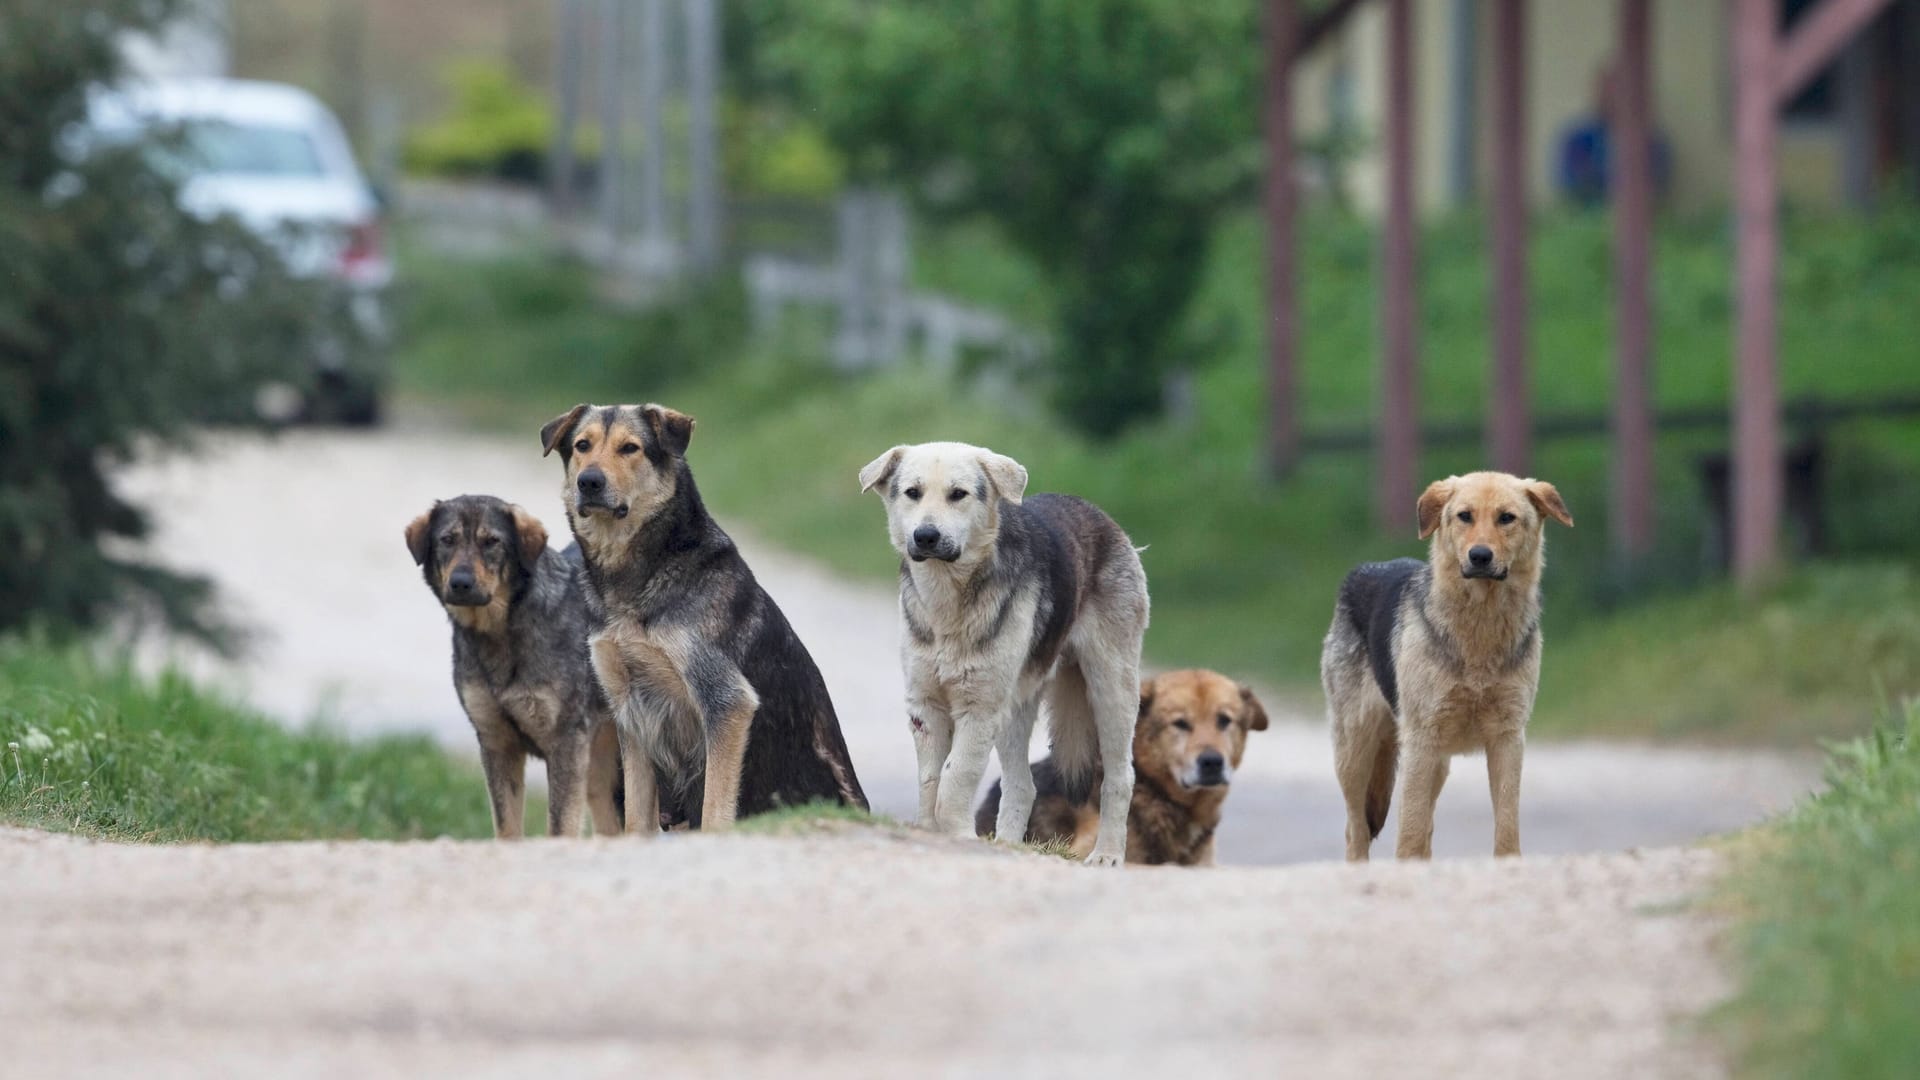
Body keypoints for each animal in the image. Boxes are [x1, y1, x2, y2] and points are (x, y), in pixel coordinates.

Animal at [407, 491, 622, 837]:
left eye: (492, 542)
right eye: (447, 540)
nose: (461, 583)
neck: (501, 632)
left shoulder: (565, 744)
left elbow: (559, 826)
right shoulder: (496, 744)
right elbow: (507, 829)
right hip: (600, 773)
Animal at [541, 399, 871, 826]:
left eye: (630, 448)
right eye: (582, 445)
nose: (589, 482)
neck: (634, 579)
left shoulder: (726, 701)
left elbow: (715, 805)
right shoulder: (631, 714)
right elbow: (635, 817)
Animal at [860, 441, 1152, 860]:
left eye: (958, 494)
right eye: (912, 493)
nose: (926, 536)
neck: (948, 602)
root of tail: (1097, 514)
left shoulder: (978, 709)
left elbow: (954, 779)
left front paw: (959, 837)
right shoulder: (925, 707)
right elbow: (930, 783)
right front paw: (931, 833)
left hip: (1110, 690)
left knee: (1120, 777)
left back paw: (1108, 855)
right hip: (1014, 708)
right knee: (1022, 785)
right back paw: (1008, 845)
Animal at [1320, 468, 1574, 857]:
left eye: (1506, 518)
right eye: (1464, 516)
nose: (1480, 556)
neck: (1480, 632)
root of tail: (1363, 570)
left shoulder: (1507, 738)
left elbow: (1506, 827)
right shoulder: (1422, 740)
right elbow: (1408, 832)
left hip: (1434, 763)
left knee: (1426, 828)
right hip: (1357, 753)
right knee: (1357, 830)